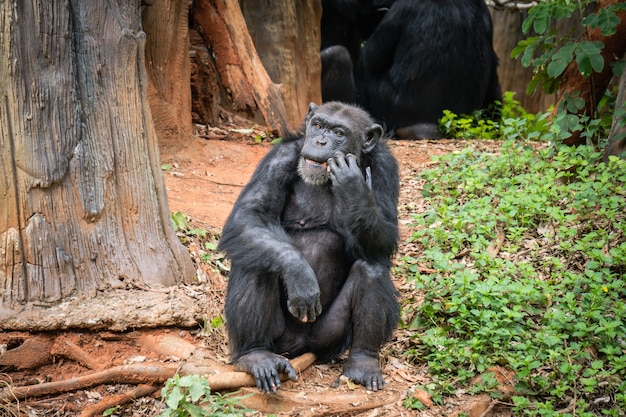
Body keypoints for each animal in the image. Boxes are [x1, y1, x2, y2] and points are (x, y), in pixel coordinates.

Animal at [217, 101, 398, 394]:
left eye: (338, 132)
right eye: (318, 125)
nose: (320, 141)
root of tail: (301, 346)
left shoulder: (386, 167)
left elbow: (385, 240)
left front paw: (354, 185)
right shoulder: (278, 157)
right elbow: (249, 215)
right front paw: (299, 274)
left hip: (331, 337)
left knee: (372, 267)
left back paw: (363, 363)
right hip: (279, 338)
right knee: (255, 263)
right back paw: (255, 356)